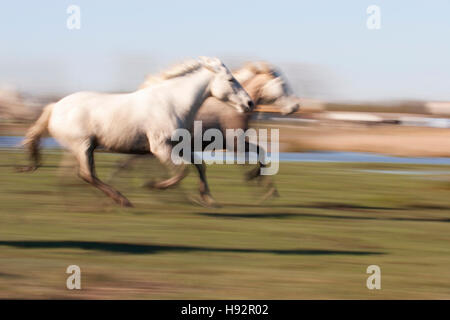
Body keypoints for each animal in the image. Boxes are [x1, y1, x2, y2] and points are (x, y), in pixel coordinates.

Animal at [20, 57, 253, 208]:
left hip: (86, 148)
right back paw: (122, 200)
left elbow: (199, 165)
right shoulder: (160, 148)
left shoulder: (178, 145)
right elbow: (182, 171)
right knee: (87, 174)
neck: (172, 103)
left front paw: (208, 198)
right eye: (231, 79)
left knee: (84, 174)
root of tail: (54, 107)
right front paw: (154, 186)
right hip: (82, 145)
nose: (249, 103)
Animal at [114, 61, 300, 200]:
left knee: (130, 165)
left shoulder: (233, 145)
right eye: (283, 84)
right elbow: (260, 153)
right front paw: (261, 184)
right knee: (131, 166)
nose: (295, 107)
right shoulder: (235, 144)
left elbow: (259, 154)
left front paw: (261, 184)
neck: (231, 109)